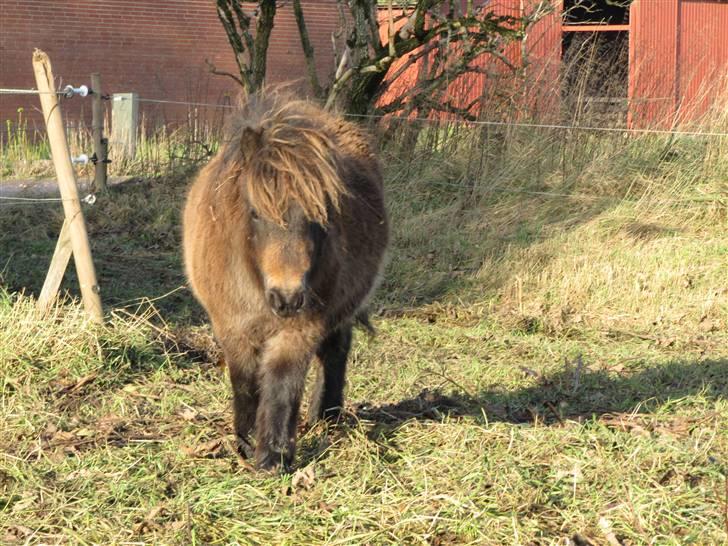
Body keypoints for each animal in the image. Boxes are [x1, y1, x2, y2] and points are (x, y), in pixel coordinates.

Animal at [181, 89, 390, 468]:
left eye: (321, 215)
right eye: (255, 213)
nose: (288, 297)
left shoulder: (300, 329)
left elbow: (282, 383)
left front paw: (273, 456)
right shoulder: (232, 325)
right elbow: (245, 381)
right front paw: (246, 440)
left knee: (336, 349)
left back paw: (326, 416)